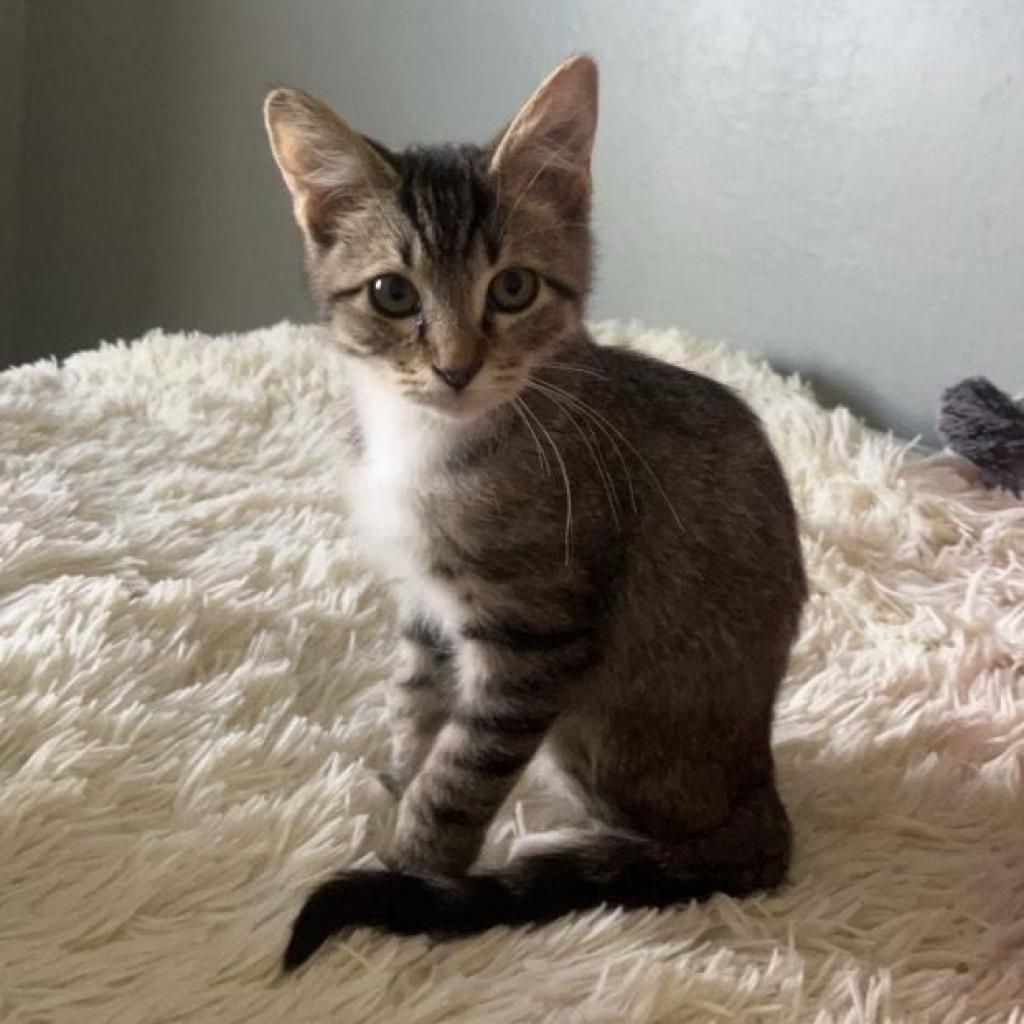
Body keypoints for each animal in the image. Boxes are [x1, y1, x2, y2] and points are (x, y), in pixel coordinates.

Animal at [266, 54, 806, 966]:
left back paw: (568, 851)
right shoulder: (425, 602)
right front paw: (398, 777)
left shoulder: (536, 637)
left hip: (606, 730)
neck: (429, 443)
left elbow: (463, 772)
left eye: (513, 287)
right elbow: (417, 699)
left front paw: (411, 876)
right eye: (392, 294)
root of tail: (761, 782)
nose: (454, 367)